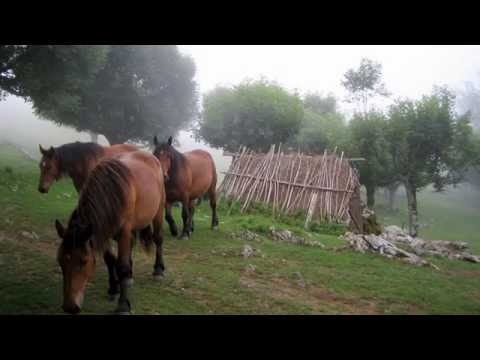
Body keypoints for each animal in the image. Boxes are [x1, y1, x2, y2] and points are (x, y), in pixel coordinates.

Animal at [54, 150, 166, 314]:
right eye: (60, 260)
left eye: (84, 261)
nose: (70, 307)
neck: (112, 193)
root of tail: (151, 157)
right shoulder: (103, 231)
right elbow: (110, 260)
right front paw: (114, 288)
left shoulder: (123, 232)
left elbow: (122, 267)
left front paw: (123, 305)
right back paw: (129, 278)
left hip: (158, 212)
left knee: (158, 239)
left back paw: (158, 271)